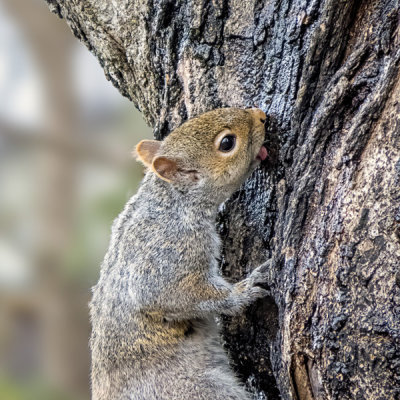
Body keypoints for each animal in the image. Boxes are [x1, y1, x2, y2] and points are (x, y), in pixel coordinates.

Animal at [90, 107, 270, 400]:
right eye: (227, 143)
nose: (261, 115)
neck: (173, 201)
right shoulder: (170, 250)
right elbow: (168, 293)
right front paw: (244, 290)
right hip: (197, 390)